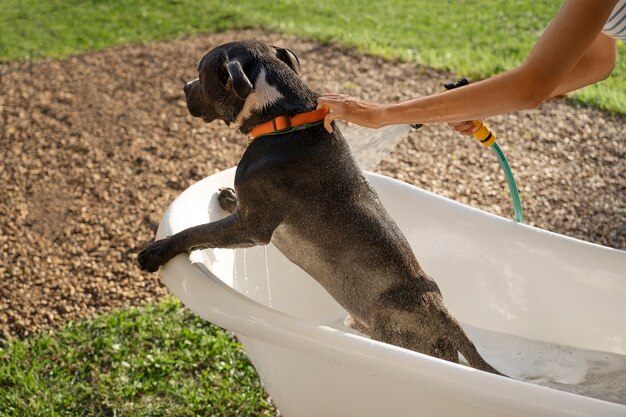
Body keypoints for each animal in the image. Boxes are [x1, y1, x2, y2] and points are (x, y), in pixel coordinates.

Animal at [136, 40, 502, 376]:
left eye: (200, 73)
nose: (184, 87)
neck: (283, 117)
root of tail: (445, 316)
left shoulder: (255, 227)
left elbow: (197, 231)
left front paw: (157, 251)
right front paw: (228, 198)